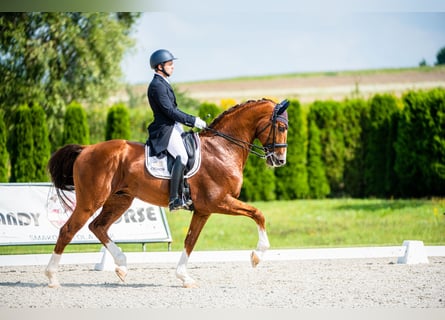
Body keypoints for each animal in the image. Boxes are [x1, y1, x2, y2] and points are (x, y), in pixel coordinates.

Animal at [44, 97, 288, 288]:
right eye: (281, 128)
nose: (280, 161)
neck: (222, 149)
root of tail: (86, 149)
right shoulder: (218, 201)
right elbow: (258, 213)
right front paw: (257, 255)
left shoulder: (203, 210)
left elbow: (190, 240)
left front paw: (184, 277)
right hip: (90, 201)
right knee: (68, 230)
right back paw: (52, 278)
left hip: (120, 200)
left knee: (98, 227)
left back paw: (122, 265)